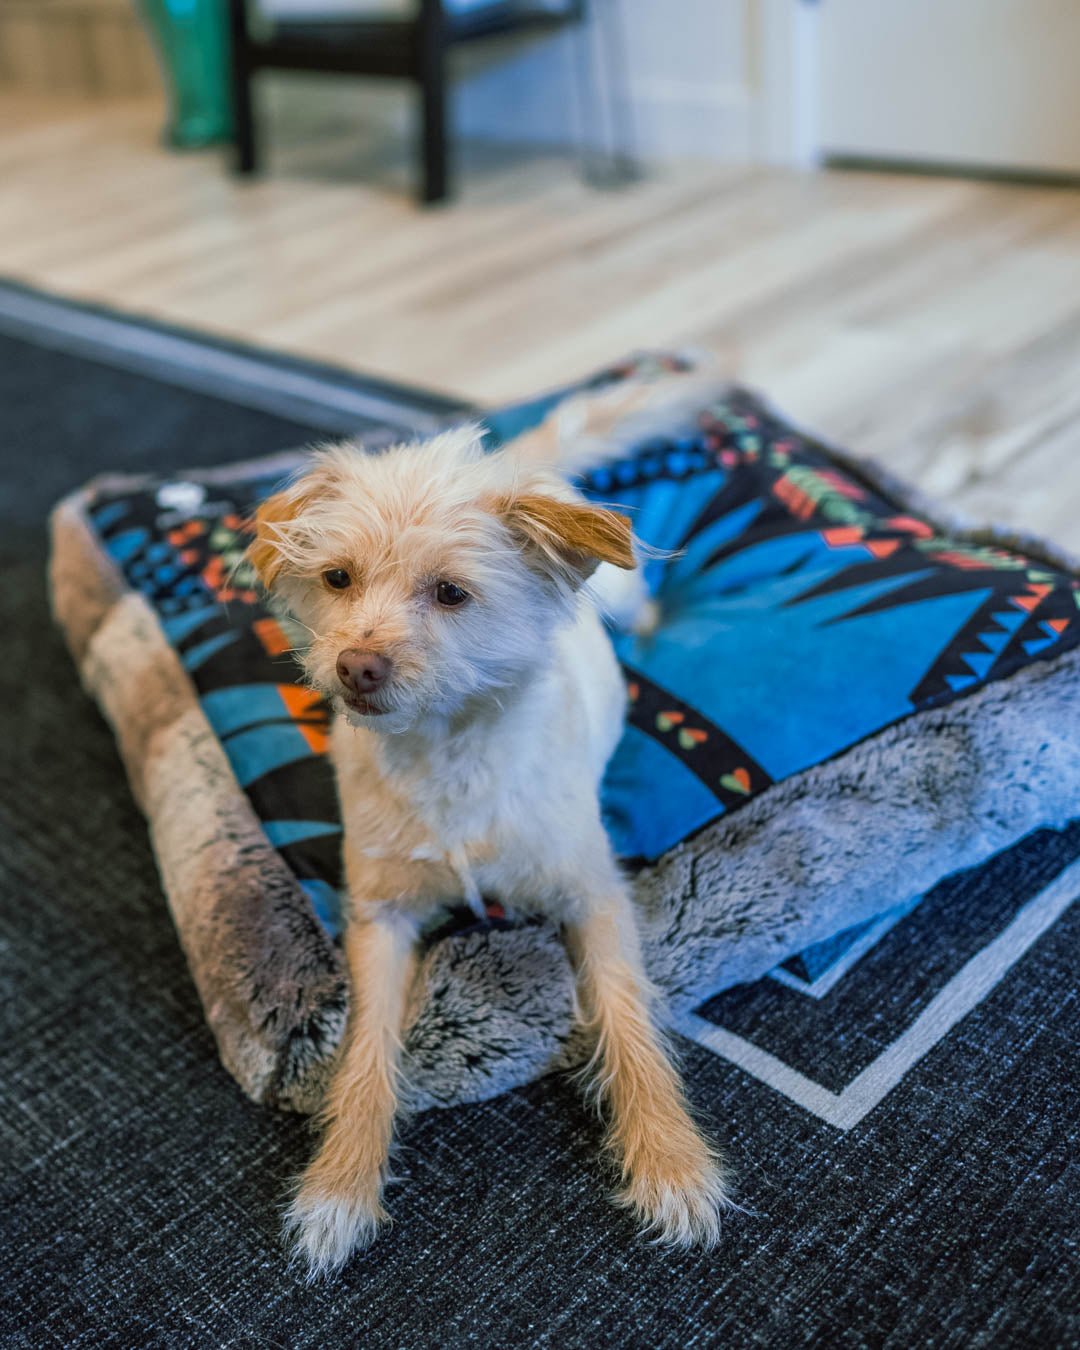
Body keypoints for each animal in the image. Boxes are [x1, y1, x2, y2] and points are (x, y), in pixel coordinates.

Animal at [248, 372, 729, 1274]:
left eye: (451, 592)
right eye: (337, 578)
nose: (354, 667)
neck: (448, 749)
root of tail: (509, 468)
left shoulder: (593, 895)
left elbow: (629, 1025)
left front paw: (672, 1163)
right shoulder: (379, 917)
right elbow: (366, 1053)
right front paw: (340, 1185)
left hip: (616, 584)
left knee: (638, 598)